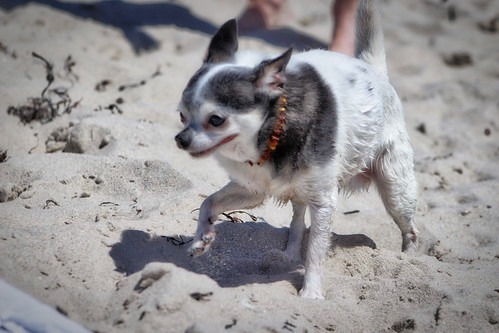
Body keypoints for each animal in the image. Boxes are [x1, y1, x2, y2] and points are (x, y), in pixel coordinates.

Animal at [176, 0, 418, 298]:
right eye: (182, 116)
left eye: (216, 120)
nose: (181, 139)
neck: (271, 137)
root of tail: (371, 68)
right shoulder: (252, 190)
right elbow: (208, 202)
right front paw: (202, 238)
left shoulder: (324, 202)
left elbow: (316, 249)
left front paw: (311, 294)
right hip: (302, 189)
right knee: (298, 219)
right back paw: (288, 254)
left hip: (395, 188)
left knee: (410, 228)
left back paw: (409, 262)